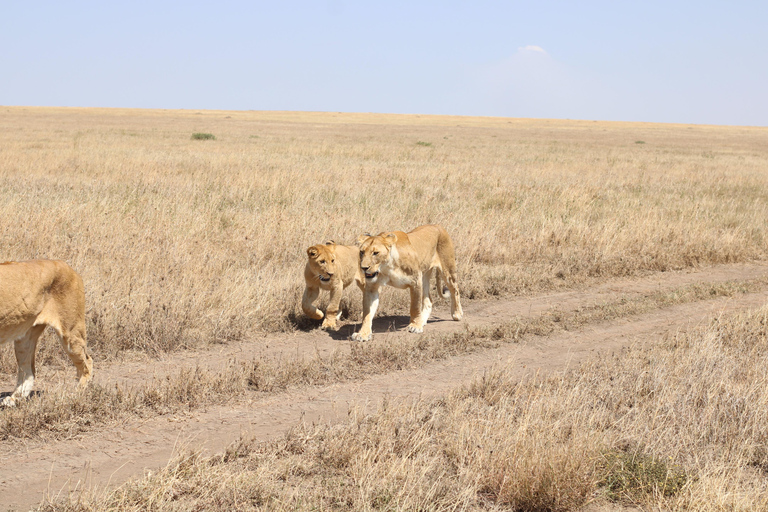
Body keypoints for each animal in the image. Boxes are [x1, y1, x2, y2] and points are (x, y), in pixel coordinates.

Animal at [0, 260, 93, 408]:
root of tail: (68, 266)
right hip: (25, 337)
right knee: (29, 371)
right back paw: (14, 399)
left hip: (71, 331)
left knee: (87, 361)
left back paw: (77, 394)